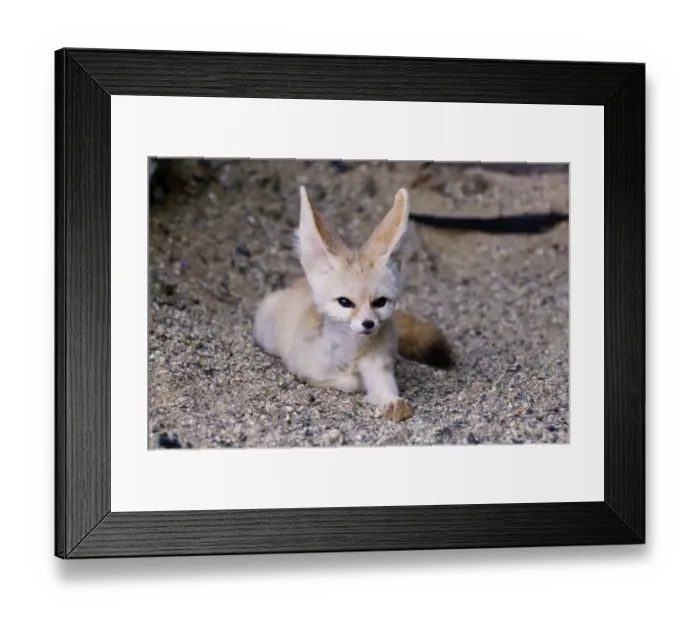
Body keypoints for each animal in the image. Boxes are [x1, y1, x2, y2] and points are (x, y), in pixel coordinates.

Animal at [253, 186, 453, 422]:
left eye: (380, 302)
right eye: (345, 302)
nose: (368, 324)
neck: (353, 353)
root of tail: (299, 283)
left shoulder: (378, 366)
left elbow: (385, 387)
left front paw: (392, 402)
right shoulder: (306, 368)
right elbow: (349, 381)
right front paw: (356, 380)